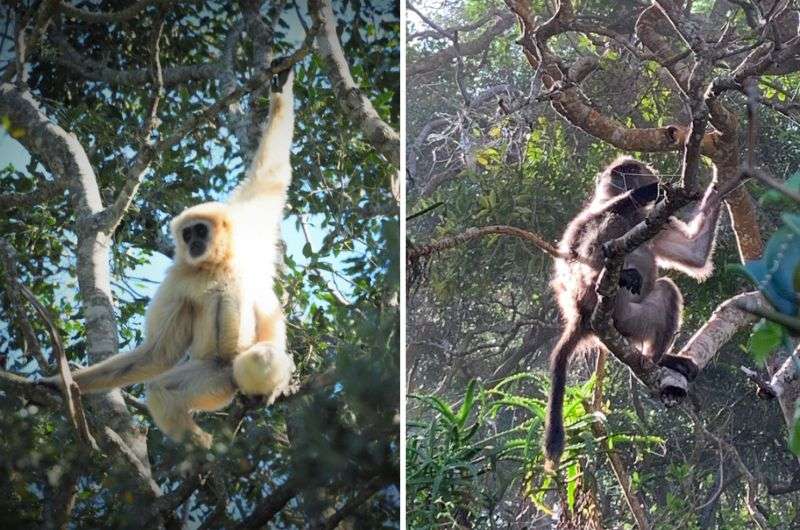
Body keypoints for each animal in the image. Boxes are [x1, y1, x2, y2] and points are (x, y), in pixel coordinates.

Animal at [548, 158, 720, 466]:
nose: (620, 182)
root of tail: (583, 318)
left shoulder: (655, 223)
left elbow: (696, 254)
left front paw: (722, 175)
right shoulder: (594, 217)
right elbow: (576, 251)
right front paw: (642, 194)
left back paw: (661, 361)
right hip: (622, 314)